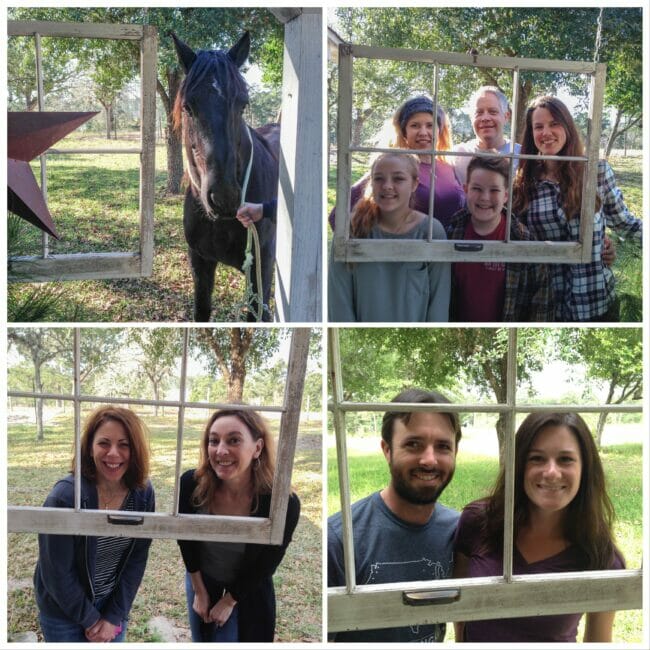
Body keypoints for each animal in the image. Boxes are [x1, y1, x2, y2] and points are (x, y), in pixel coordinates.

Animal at [171, 31, 278, 320]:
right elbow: (202, 312)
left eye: (243, 104)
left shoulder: (260, 272)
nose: (224, 198)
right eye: (188, 107)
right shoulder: (200, 262)